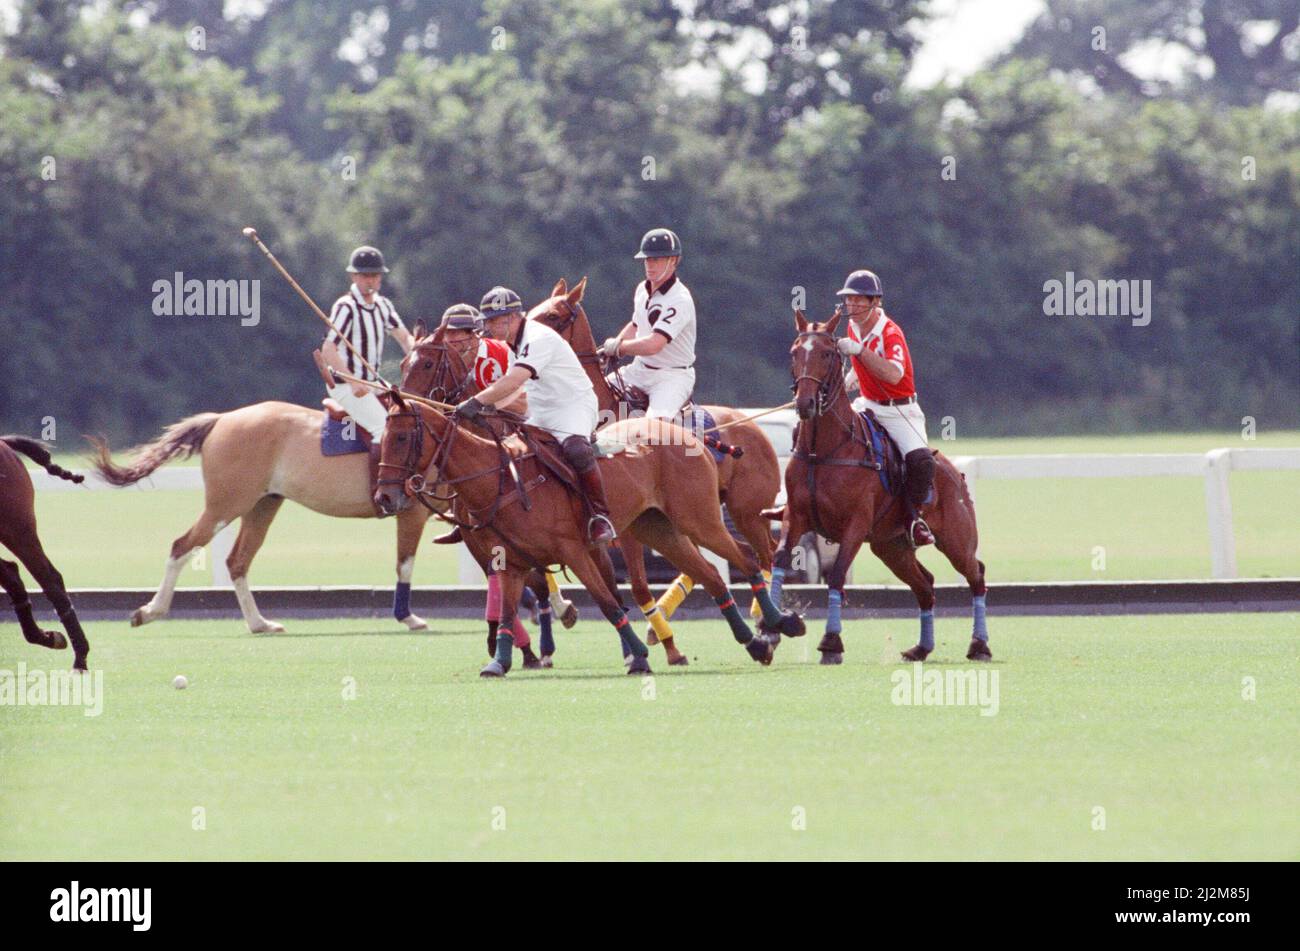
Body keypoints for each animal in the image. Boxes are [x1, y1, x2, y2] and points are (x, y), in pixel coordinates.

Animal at [371, 387, 806, 675]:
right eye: (383, 438)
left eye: (404, 437)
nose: (385, 497)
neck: (500, 480)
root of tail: (687, 434)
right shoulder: (510, 562)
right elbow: (509, 610)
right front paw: (500, 662)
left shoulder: (575, 551)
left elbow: (609, 602)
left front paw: (639, 657)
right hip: (659, 529)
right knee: (713, 574)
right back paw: (754, 643)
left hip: (700, 518)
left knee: (747, 558)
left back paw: (780, 625)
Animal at [525, 278, 780, 646]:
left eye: (554, 316)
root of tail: (754, 427)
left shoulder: (627, 522)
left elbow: (637, 586)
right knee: (732, 556)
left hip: (745, 509)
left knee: (765, 552)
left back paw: (766, 620)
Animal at [769, 310, 993, 659]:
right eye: (795, 352)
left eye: (828, 353)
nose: (805, 403)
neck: (824, 450)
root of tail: (956, 474)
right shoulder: (796, 516)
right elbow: (779, 560)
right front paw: (772, 629)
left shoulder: (856, 523)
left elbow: (836, 575)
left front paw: (831, 642)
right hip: (891, 546)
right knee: (925, 585)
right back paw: (921, 648)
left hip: (956, 539)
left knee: (976, 575)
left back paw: (979, 645)